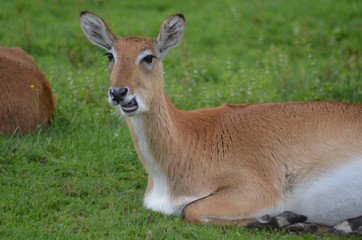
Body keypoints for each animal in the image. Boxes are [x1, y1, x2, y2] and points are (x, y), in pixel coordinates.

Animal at [80, 11, 362, 234]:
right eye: (109, 55)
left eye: (148, 57)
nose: (119, 93)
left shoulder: (258, 190)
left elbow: (190, 211)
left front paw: (281, 219)